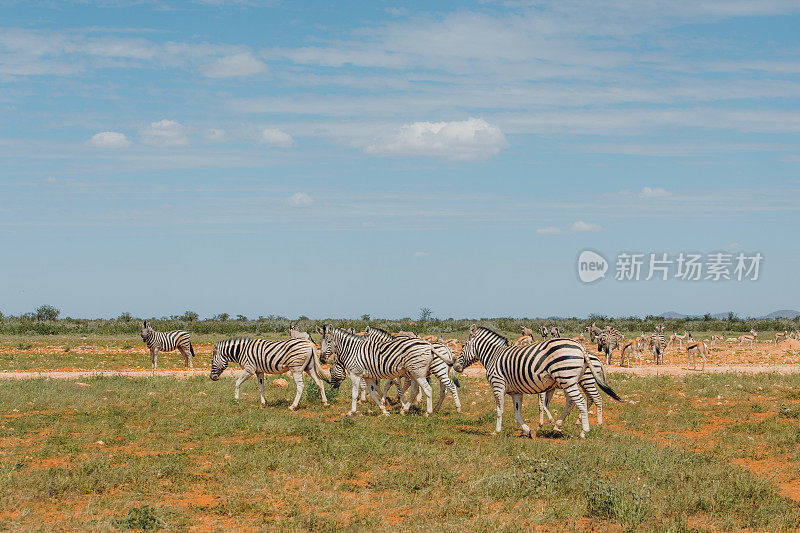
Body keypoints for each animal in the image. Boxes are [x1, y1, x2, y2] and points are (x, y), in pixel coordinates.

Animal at [456, 322, 620, 438]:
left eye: (463, 345)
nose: (456, 367)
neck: (493, 356)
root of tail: (582, 348)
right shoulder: (516, 392)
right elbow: (517, 412)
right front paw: (528, 430)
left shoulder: (498, 385)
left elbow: (500, 410)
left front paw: (496, 432)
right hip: (571, 381)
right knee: (577, 401)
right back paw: (560, 427)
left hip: (575, 379)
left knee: (585, 400)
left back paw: (586, 430)